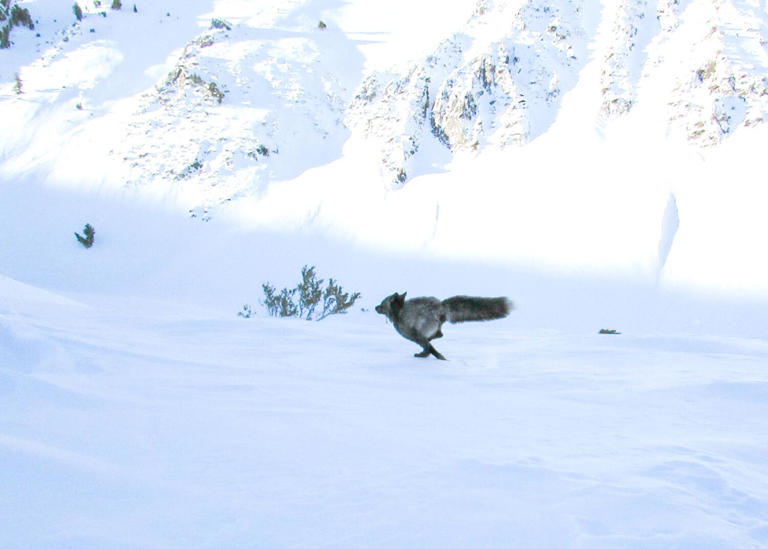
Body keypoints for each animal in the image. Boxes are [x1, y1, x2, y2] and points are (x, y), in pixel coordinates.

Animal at [375, 292, 513, 360]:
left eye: (382, 304)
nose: (375, 307)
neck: (399, 312)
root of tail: (441, 305)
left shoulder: (414, 334)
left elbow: (429, 348)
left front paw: (436, 356)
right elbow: (431, 347)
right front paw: (439, 357)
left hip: (421, 330)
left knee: (434, 338)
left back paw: (423, 354)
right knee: (439, 335)